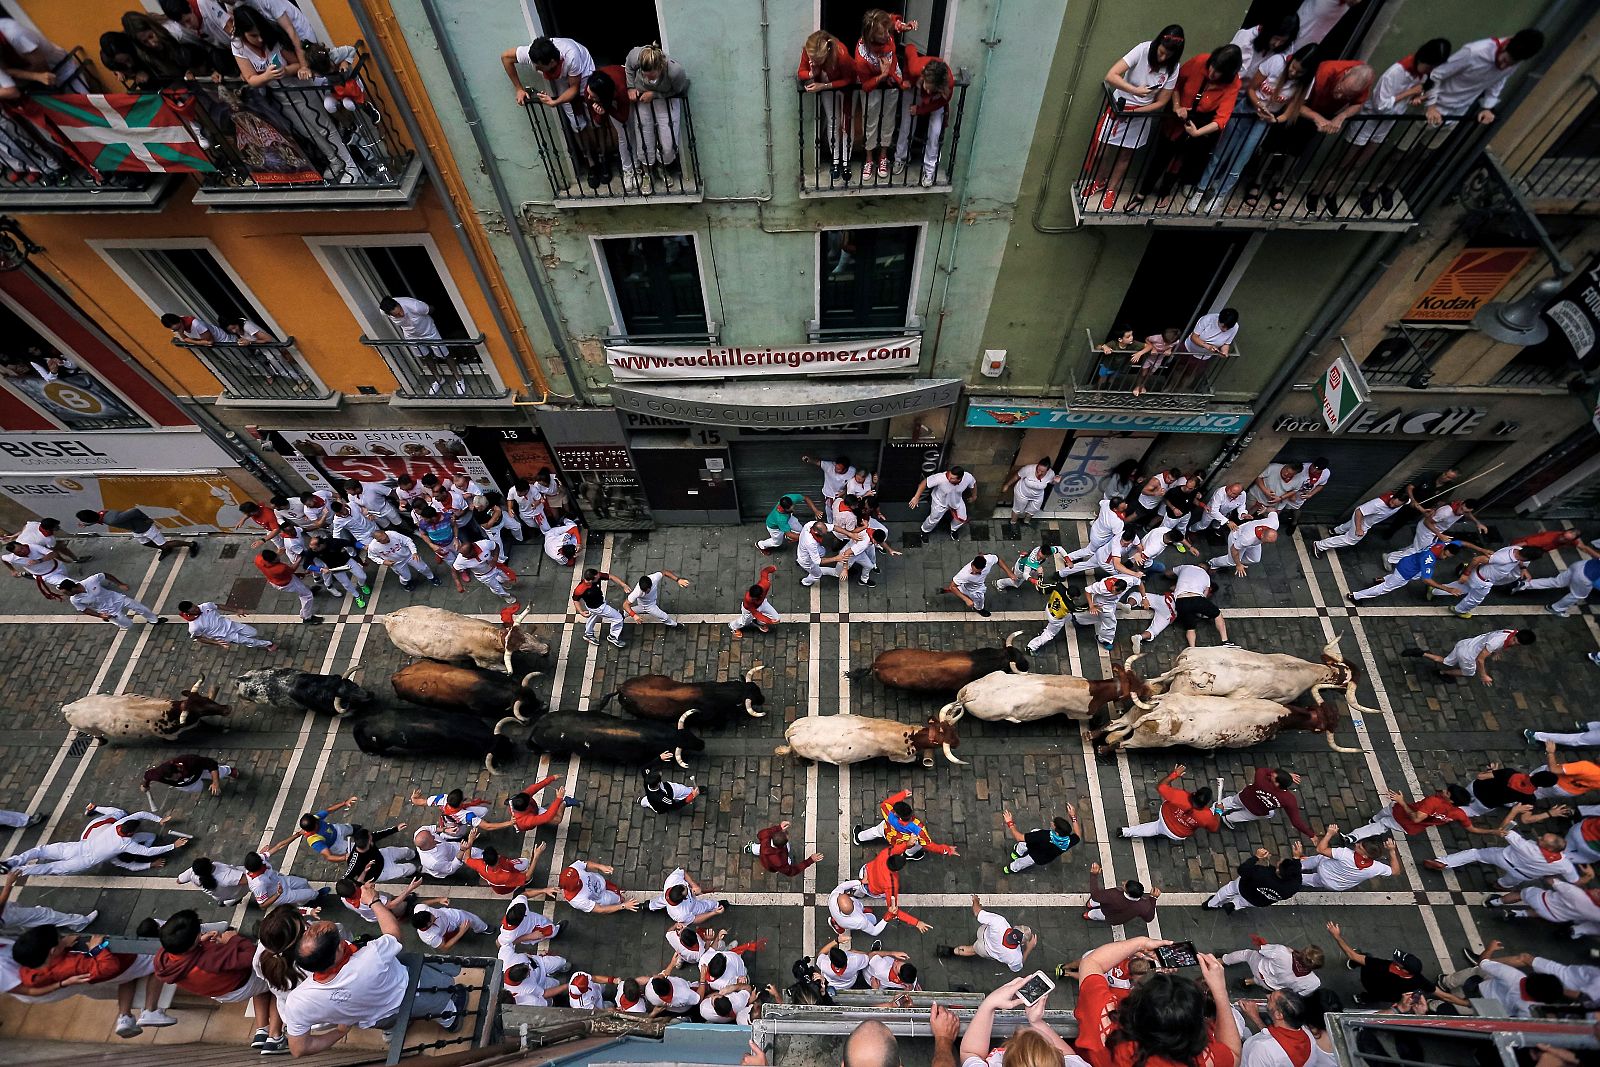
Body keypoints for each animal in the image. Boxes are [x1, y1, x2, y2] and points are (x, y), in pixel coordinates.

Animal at [380, 604, 550, 671]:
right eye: (524, 649)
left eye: (528, 636)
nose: (546, 649)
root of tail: (389, 618)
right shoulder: (484, 663)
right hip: (414, 652)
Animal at [774, 710, 960, 767]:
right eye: (946, 737)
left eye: (952, 729)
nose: (958, 743)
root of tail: (792, 730)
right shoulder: (897, 757)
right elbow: (912, 759)